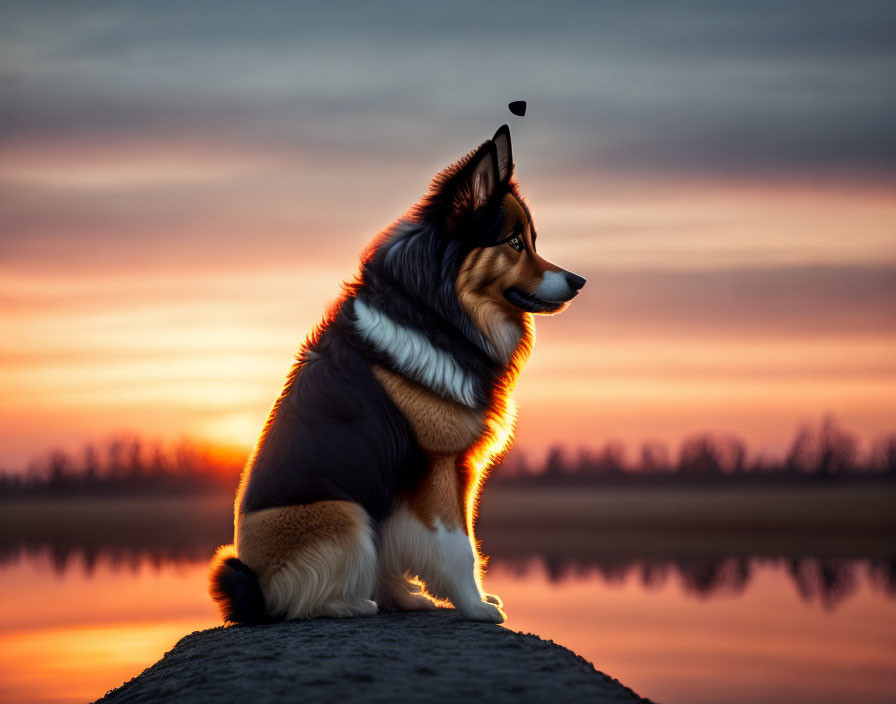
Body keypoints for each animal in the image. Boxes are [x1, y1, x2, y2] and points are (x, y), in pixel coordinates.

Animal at [211, 124, 588, 624]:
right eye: (514, 242)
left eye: (533, 240)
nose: (578, 282)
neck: (435, 313)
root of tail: (251, 585)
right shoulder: (439, 463)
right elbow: (460, 545)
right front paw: (475, 606)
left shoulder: (431, 477)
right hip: (344, 512)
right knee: (297, 602)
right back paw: (351, 604)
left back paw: (404, 598)